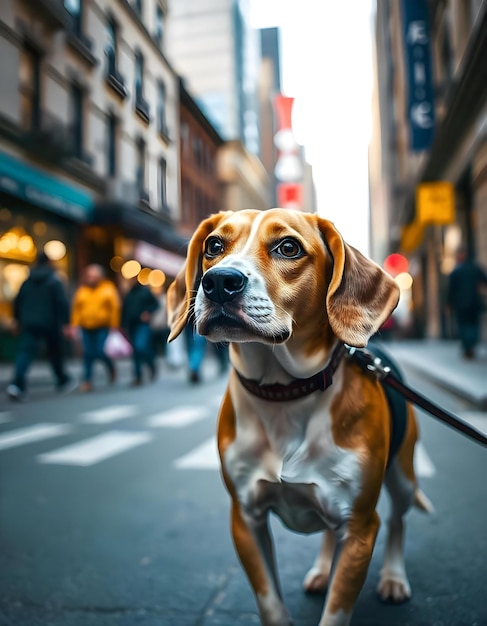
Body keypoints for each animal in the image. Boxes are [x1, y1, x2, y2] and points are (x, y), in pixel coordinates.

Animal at [167, 208, 430, 624]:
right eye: (214, 246)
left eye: (288, 247)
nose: (219, 282)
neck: (284, 396)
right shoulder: (246, 519)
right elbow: (270, 602)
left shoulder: (359, 528)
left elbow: (337, 609)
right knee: (329, 535)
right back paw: (323, 571)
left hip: (403, 478)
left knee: (398, 522)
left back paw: (393, 577)